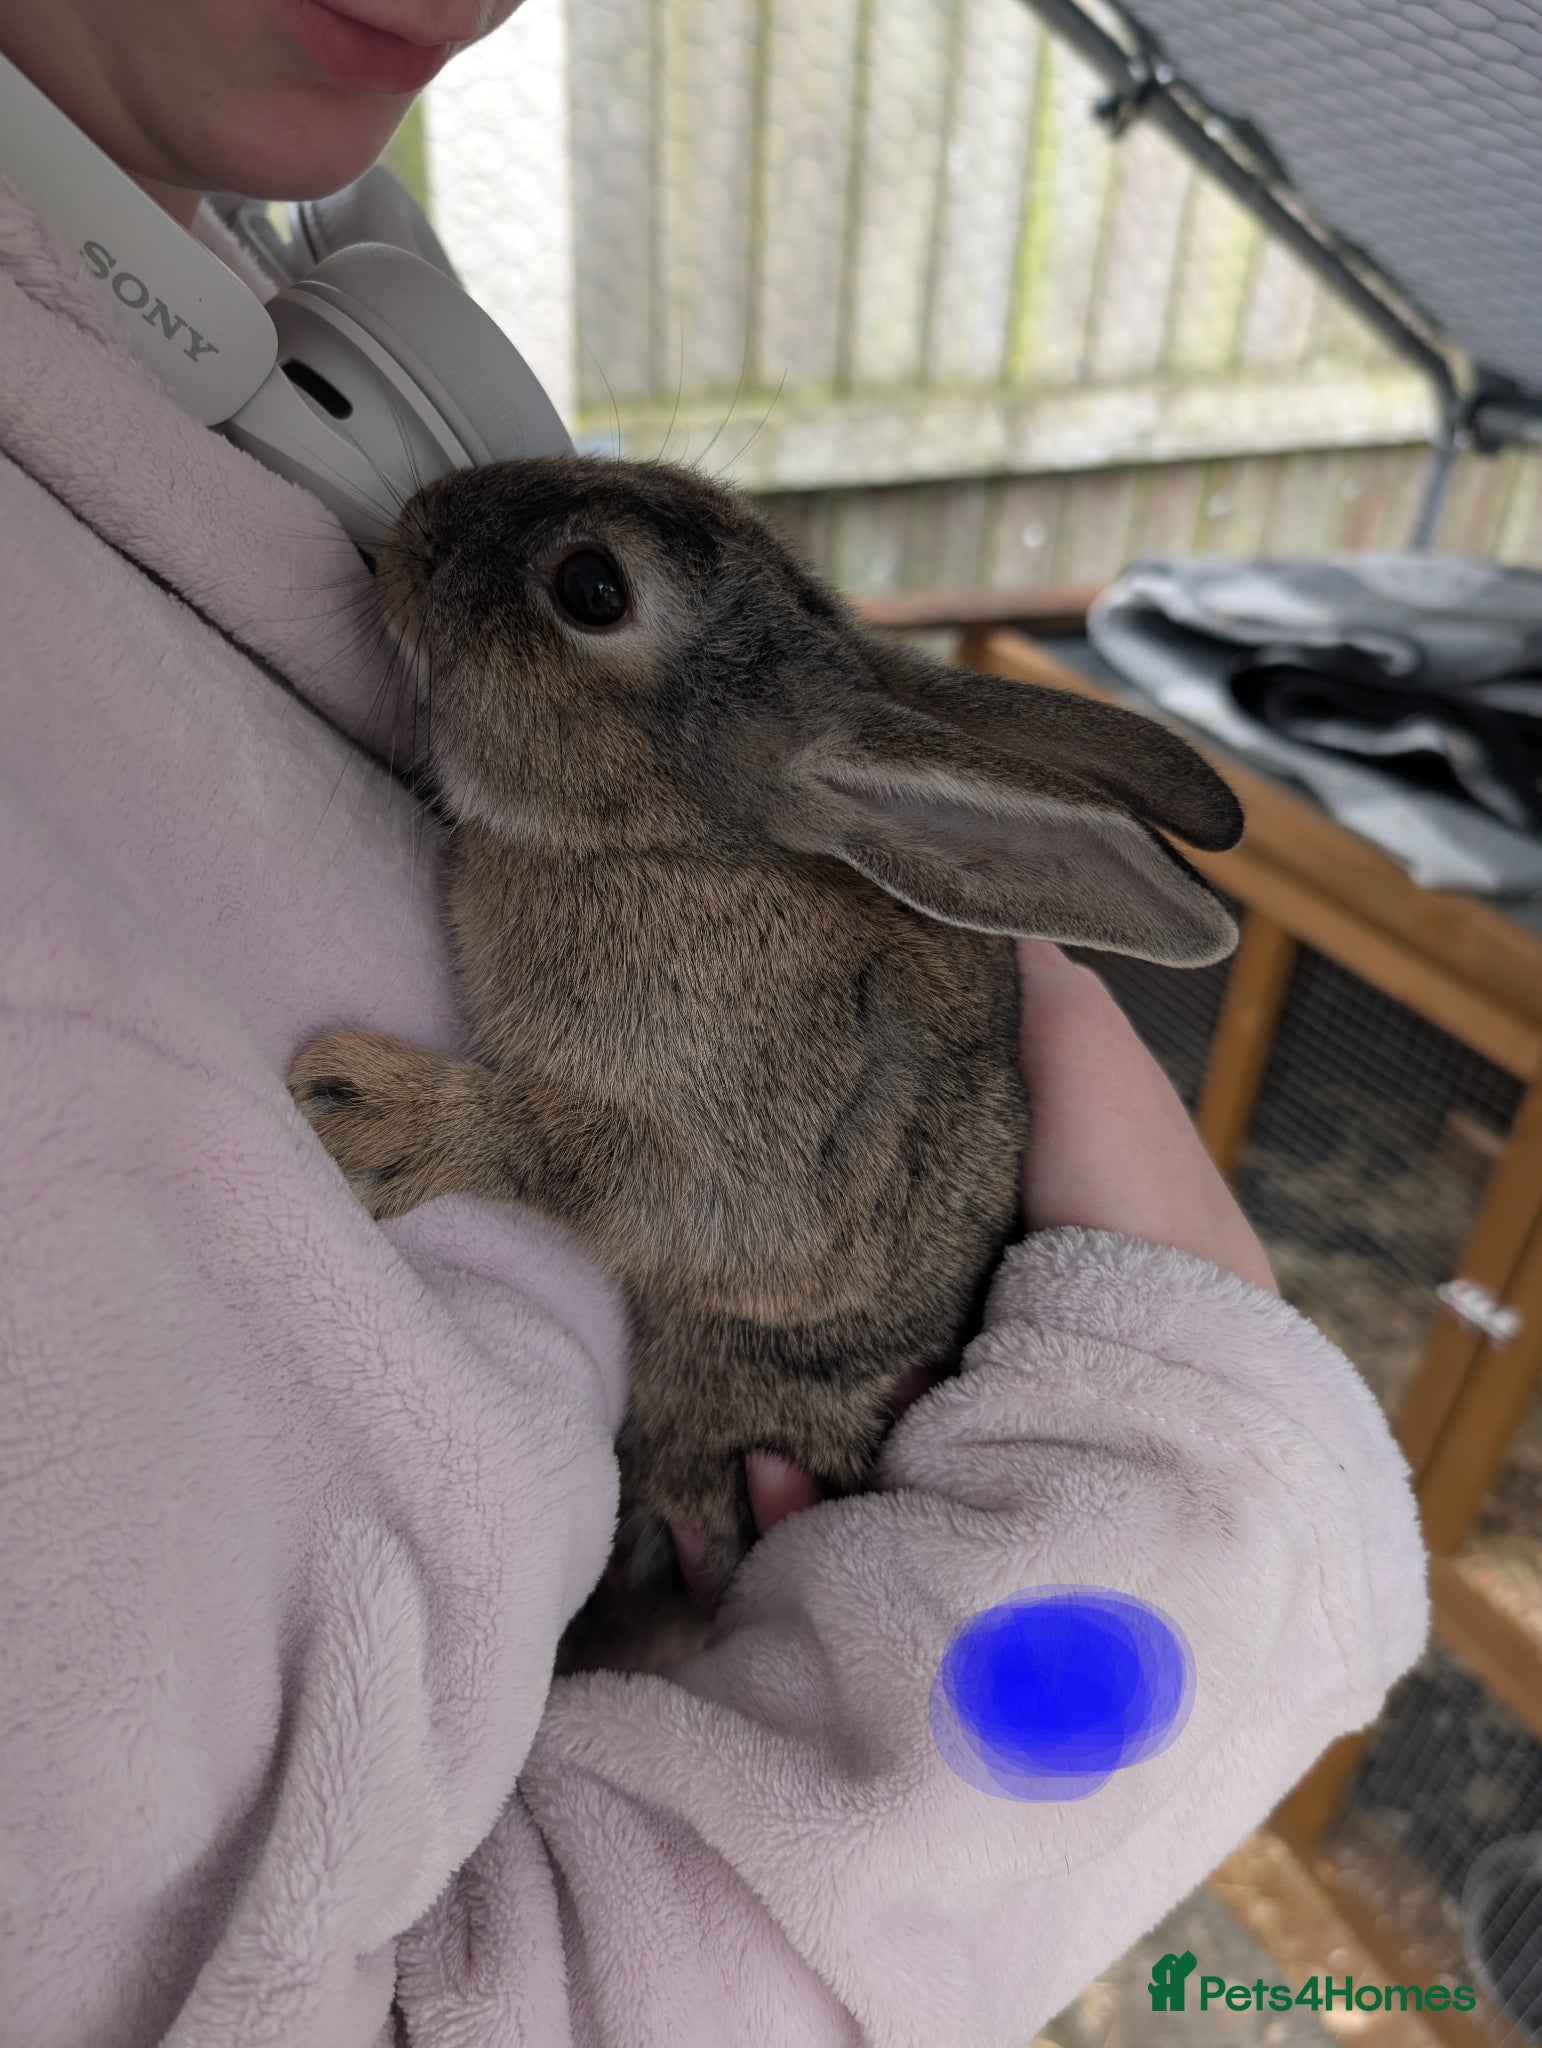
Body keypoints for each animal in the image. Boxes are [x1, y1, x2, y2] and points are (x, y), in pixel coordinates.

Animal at [287, 454, 1244, 1678]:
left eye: (592, 587)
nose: (417, 521)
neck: (670, 844)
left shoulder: (749, 1176)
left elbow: (569, 1154)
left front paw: (359, 1105)